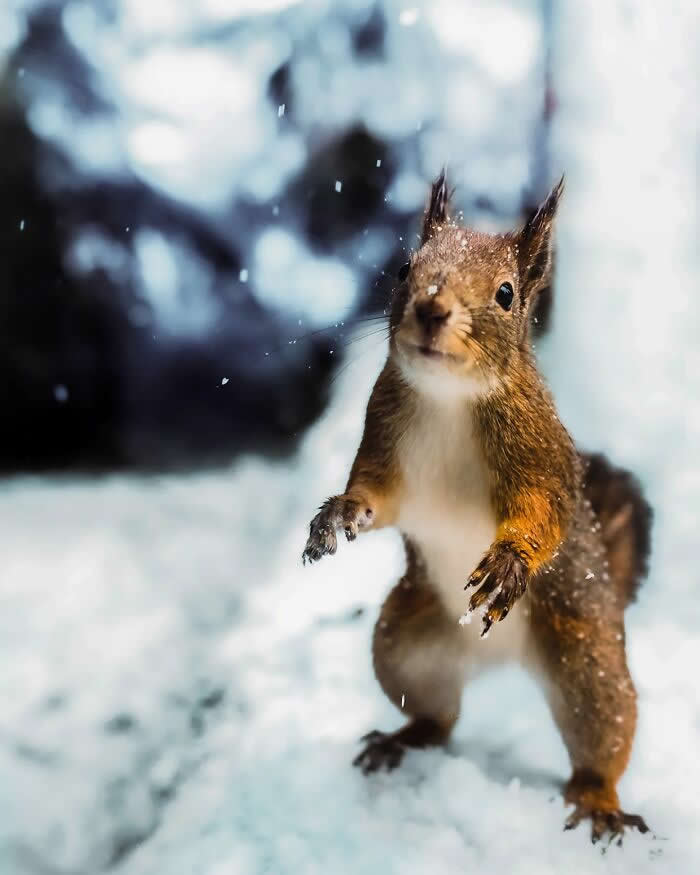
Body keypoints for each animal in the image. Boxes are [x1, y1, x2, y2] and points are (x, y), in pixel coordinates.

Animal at [302, 173, 652, 842]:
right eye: (406, 267)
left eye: (506, 293)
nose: (432, 308)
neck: (449, 396)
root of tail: (495, 658)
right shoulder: (384, 443)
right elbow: (374, 496)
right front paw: (338, 514)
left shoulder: (539, 456)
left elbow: (543, 512)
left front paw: (510, 559)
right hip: (405, 644)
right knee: (439, 717)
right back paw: (401, 739)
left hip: (587, 661)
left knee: (600, 737)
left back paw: (599, 801)